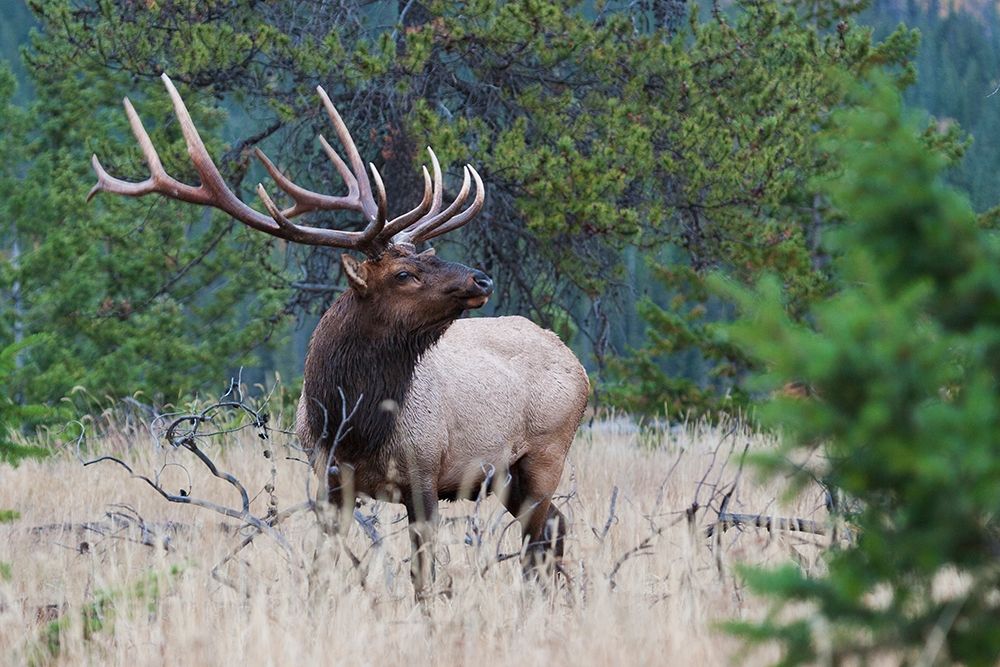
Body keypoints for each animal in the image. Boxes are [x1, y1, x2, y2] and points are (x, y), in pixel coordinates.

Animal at [88, 74, 590, 596]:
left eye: (430, 256)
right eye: (405, 273)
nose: (482, 279)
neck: (353, 425)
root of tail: (577, 364)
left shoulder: (425, 472)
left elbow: (424, 579)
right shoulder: (329, 480)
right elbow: (323, 565)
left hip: (545, 453)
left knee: (539, 537)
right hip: (506, 475)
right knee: (555, 526)